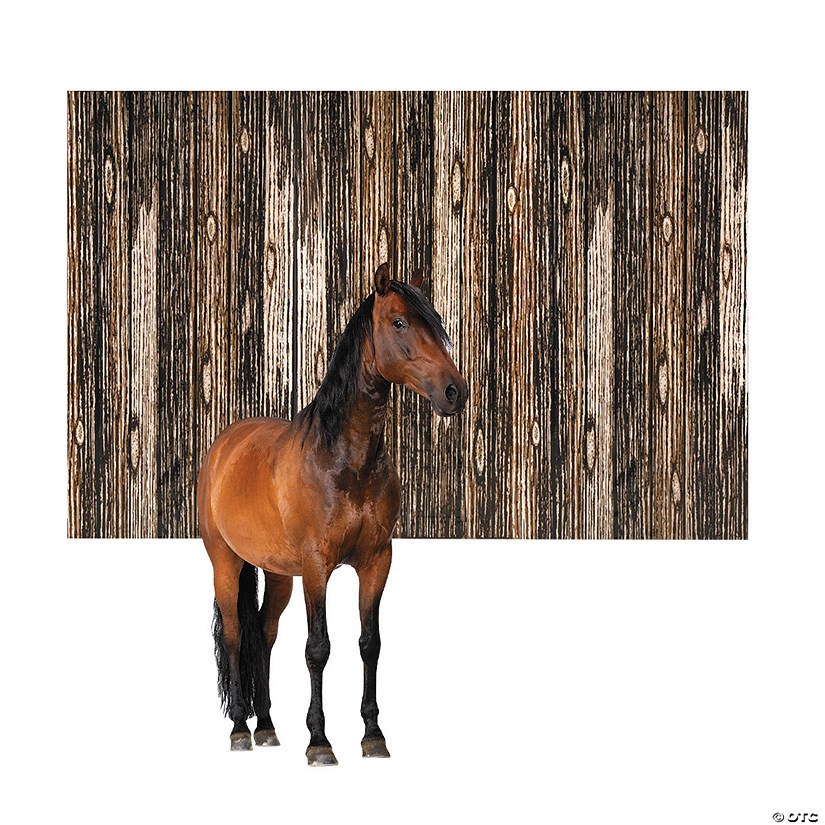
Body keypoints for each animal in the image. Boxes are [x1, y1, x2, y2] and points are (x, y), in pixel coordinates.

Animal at [197, 263, 468, 765]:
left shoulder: (377, 561)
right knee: (235, 635)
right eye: (399, 322)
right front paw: (320, 741)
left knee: (264, 632)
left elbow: (370, 644)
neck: (344, 460)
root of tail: (224, 446)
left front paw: (373, 735)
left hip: (278, 574)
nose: (454, 392)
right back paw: (241, 729)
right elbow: (317, 648)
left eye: (437, 322)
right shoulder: (317, 566)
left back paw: (267, 727)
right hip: (226, 563)